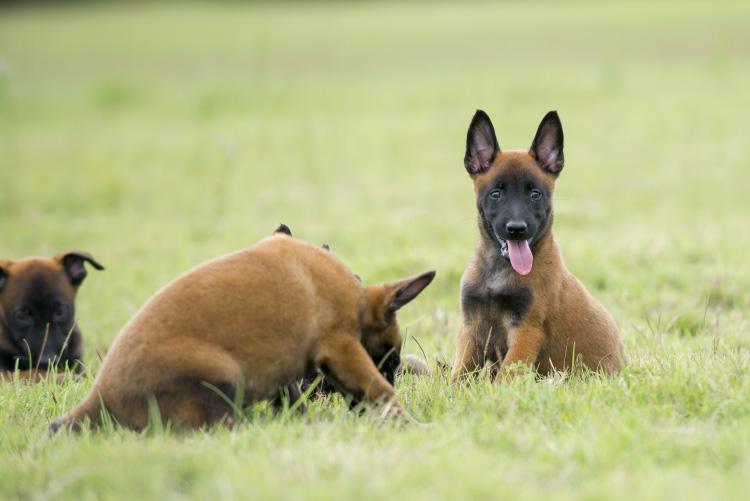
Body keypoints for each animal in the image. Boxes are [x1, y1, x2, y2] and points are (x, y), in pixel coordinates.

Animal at [51, 229, 434, 430]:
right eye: (390, 360)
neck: (356, 297)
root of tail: (100, 398)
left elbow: (294, 399)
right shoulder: (340, 346)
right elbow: (380, 388)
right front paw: (407, 421)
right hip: (223, 371)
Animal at [452, 110, 624, 382]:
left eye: (535, 194)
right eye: (496, 194)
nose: (516, 229)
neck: (498, 270)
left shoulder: (527, 330)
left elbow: (507, 375)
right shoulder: (471, 328)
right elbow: (460, 374)